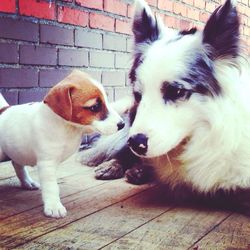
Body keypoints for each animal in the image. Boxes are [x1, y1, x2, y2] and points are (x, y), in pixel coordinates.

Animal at [0, 69, 124, 218]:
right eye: (94, 107)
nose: (122, 124)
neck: (67, 127)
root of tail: (3, 110)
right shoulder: (47, 164)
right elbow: (52, 187)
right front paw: (54, 206)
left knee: (17, 164)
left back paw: (27, 182)